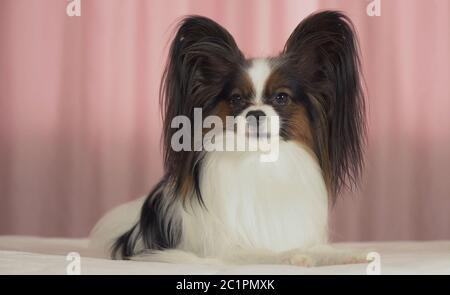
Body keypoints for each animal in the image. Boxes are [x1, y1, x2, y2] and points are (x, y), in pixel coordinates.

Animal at [89, 10, 368, 268]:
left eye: (281, 97)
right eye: (236, 99)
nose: (256, 113)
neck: (259, 160)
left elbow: (320, 248)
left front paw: (349, 254)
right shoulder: (228, 251)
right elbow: (267, 252)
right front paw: (296, 255)